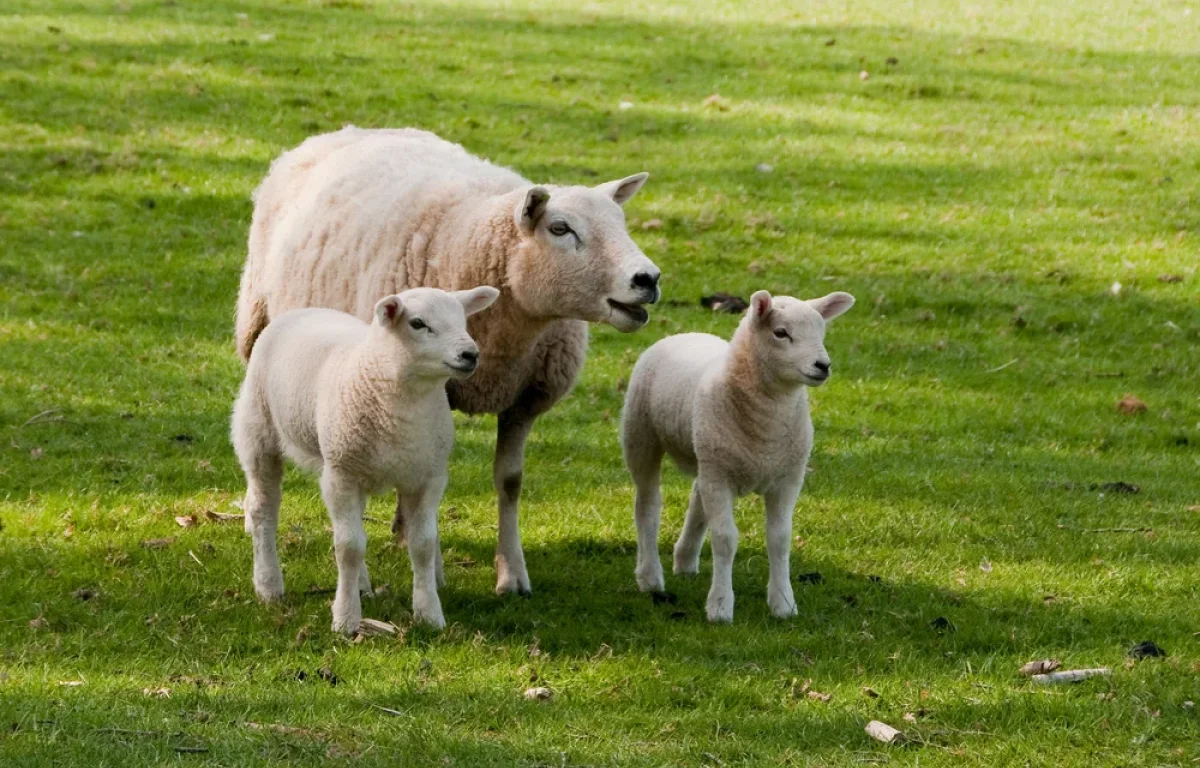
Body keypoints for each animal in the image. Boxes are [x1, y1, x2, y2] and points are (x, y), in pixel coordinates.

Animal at [231, 285, 499, 633]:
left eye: (463, 319)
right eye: (417, 323)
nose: (470, 354)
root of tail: (304, 310)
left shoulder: (428, 476)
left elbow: (423, 545)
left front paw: (429, 614)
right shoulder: (341, 476)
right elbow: (349, 547)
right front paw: (345, 619)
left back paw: (360, 584)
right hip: (259, 433)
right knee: (263, 510)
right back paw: (268, 585)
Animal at [237, 126, 662, 597]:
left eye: (621, 224)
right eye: (560, 228)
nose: (648, 279)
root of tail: (347, 130)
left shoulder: (524, 400)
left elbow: (509, 482)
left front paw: (511, 573)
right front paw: (434, 570)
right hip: (264, 328)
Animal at [619, 290, 854, 619]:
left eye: (821, 332)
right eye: (780, 333)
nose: (823, 365)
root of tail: (685, 334)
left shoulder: (787, 479)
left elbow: (780, 540)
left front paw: (783, 603)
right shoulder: (720, 478)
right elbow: (725, 538)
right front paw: (720, 605)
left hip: (707, 452)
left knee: (697, 496)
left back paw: (685, 559)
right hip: (642, 435)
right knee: (647, 506)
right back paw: (650, 576)